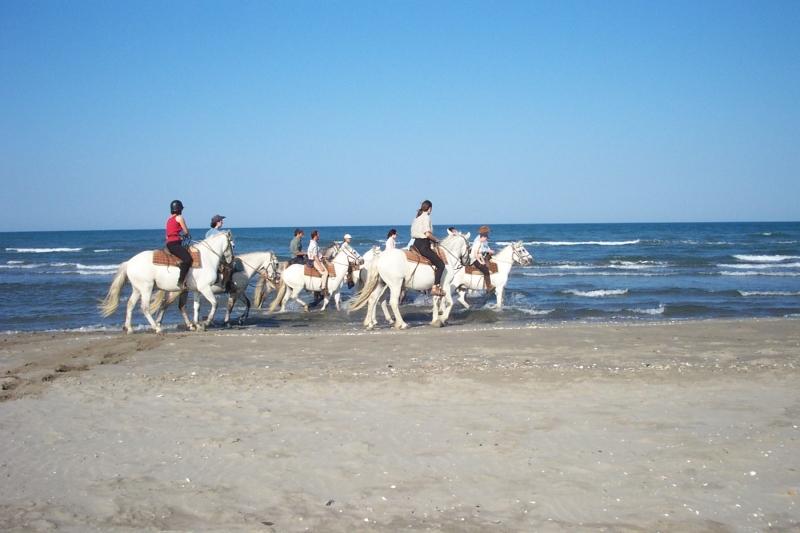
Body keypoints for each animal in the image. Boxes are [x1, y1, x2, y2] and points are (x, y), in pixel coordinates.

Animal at [98, 230, 233, 332]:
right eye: (232, 245)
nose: (231, 264)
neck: (206, 258)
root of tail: (129, 262)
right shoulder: (205, 288)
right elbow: (214, 304)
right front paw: (205, 323)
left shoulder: (197, 290)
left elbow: (196, 307)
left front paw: (197, 325)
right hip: (146, 288)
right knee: (145, 307)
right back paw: (156, 328)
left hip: (137, 289)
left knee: (130, 304)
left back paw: (129, 328)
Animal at [152, 250, 280, 328]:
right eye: (277, 263)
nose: (276, 277)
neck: (243, 269)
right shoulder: (235, 293)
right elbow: (229, 307)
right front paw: (227, 322)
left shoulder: (239, 292)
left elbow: (248, 303)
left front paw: (242, 319)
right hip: (177, 292)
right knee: (165, 305)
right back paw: (158, 324)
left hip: (184, 291)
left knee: (181, 307)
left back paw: (189, 325)